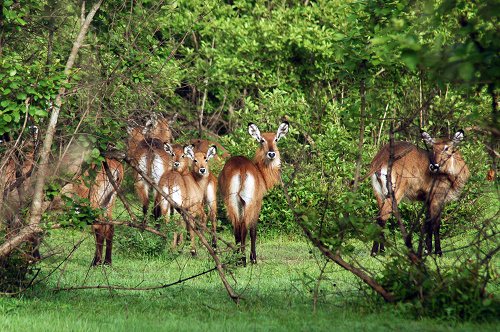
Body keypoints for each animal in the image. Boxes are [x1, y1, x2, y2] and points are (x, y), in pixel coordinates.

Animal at [218, 121, 290, 264]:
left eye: (276, 139)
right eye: (262, 140)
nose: (271, 154)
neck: (260, 172)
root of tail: (241, 168)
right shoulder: (258, 202)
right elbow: (253, 230)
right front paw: (253, 258)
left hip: (232, 202)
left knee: (237, 228)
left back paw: (237, 258)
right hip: (248, 202)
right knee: (245, 228)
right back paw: (245, 260)